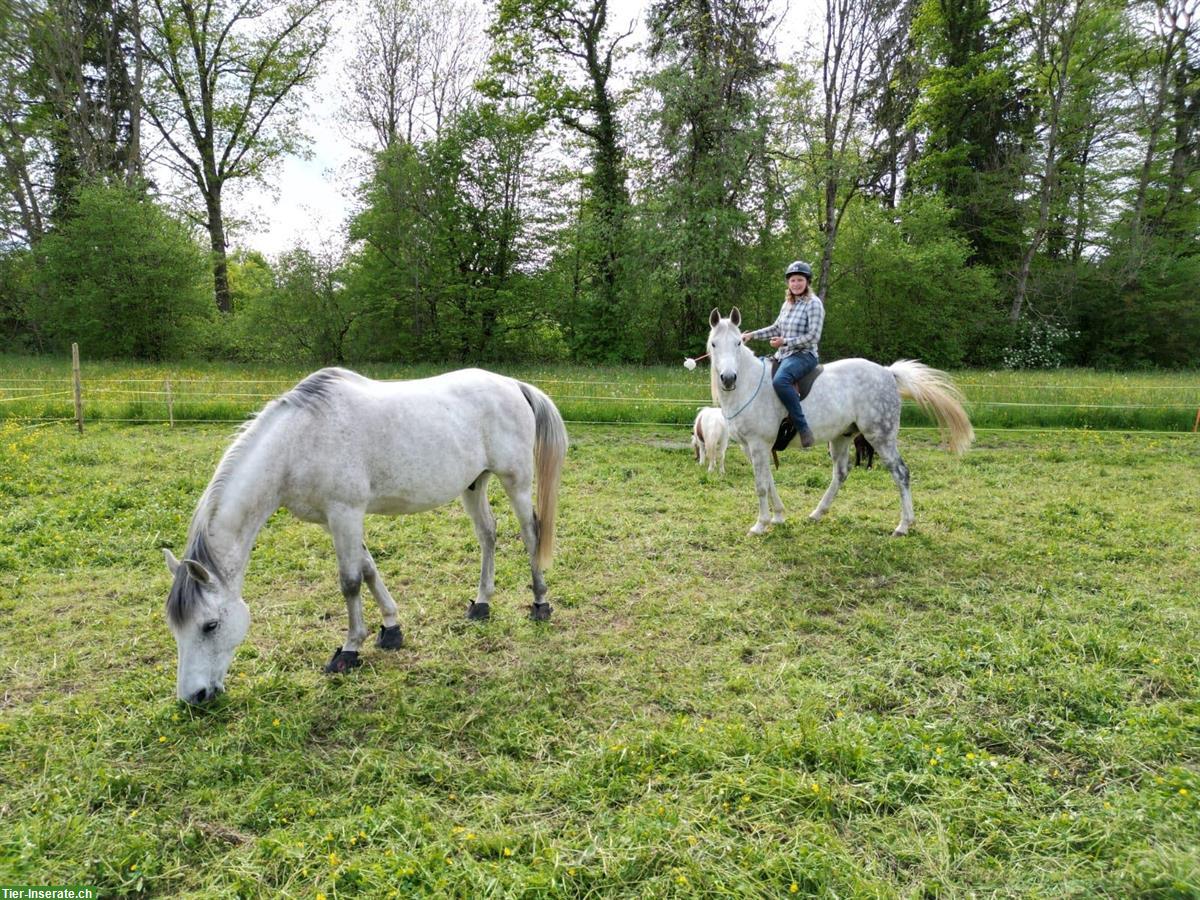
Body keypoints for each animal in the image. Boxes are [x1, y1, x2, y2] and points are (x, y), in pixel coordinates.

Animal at [163, 367, 566, 705]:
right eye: (175, 626)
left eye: (210, 625)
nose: (193, 697)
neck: (298, 442)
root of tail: (513, 385)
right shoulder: (335, 520)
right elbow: (369, 568)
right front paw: (391, 628)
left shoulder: (346, 512)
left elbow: (351, 581)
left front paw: (349, 650)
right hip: (473, 483)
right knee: (487, 534)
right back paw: (482, 604)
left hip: (516, 481)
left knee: (531, 534)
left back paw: (540, 603)